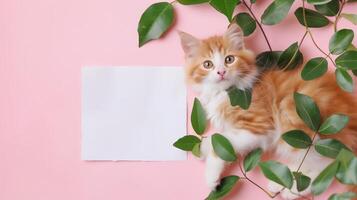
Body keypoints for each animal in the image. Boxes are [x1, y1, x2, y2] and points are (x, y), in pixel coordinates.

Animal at [178, 23, 356, 200]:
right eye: (207, 64)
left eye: (229, 59)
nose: (221, 72)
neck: (225, 92)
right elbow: (219, 138)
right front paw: (204, 147)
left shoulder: (258, 126)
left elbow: (220, 141)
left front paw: (211, 174)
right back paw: (283, 184)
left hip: (297, 119)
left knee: (327, 163)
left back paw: (290, 189)